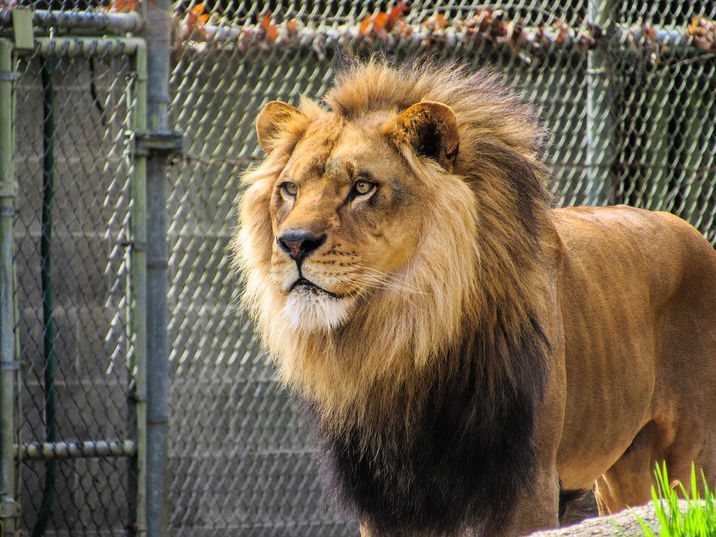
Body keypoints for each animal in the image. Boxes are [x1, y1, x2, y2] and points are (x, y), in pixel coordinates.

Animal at [233, 60, 716, 537]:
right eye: (290, 189)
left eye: (363, 187)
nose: (293, 243)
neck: (402, 334)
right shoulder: (387, 497)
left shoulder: (526, 480)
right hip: (623, 473)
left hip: (693, 459)